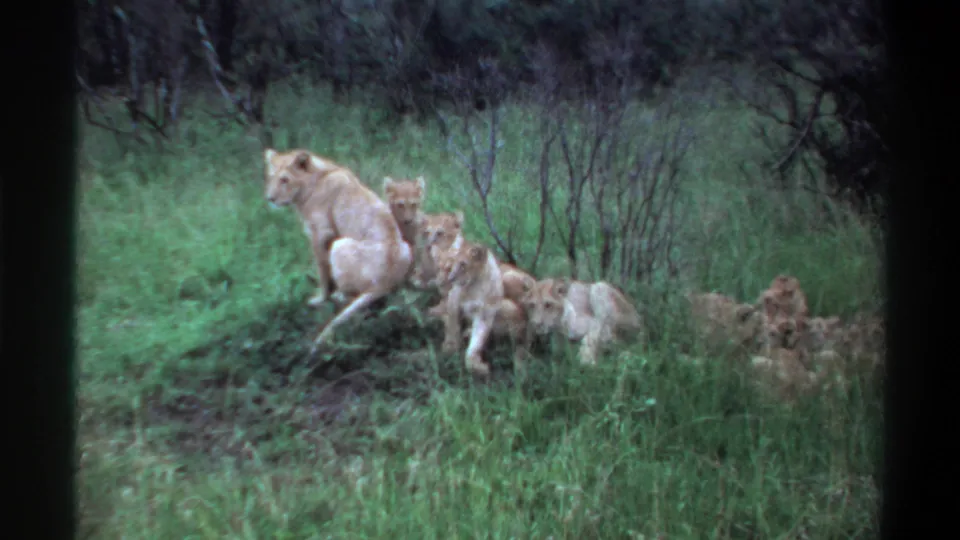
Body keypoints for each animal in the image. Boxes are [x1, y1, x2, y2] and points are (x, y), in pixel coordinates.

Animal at [263, 148, 413, 347]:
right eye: (271, 177)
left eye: (285, 180)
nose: (270, 198)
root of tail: (384, 284)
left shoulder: (320, 234)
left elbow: (322, 269)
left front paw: (320, 298)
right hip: (406, 247)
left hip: (339, 245)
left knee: (351, 294)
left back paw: (339, 296)